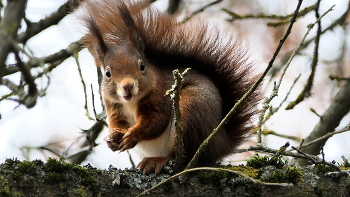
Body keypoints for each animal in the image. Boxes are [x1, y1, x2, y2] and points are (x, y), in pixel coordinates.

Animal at [78, 0, 262, 174]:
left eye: (142, 66)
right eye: (107, 73)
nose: (128, 86)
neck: (131, 102)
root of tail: (221, 143)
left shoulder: (161, 96)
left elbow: (155, 122)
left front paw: (133, 135)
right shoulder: (114, 107)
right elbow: (118, 123)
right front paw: (112, 138)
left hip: (192, 108)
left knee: (182, 155)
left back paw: (158, 160)